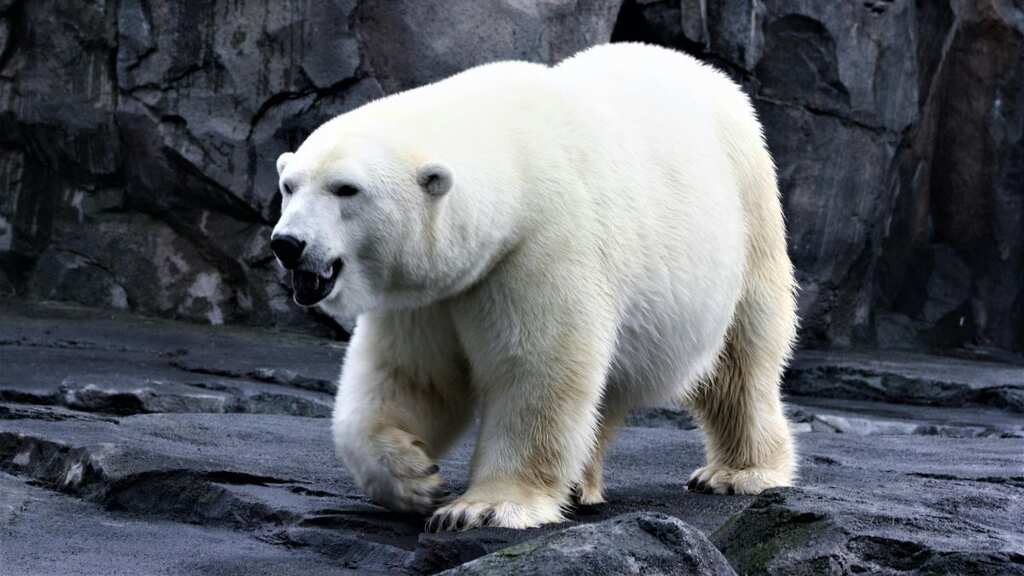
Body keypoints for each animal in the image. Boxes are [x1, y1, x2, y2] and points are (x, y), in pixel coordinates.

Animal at [270, 42, 798, 531]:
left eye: (346, 189)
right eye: (290, 185)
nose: (287, 243)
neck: (511, 163)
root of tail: (706, 72)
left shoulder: (539, 246)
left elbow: (535, 369)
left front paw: (481, 508)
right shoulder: (430, 293)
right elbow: (410, 375)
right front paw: (414, 477)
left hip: (748, 217)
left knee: (742, 359)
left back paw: (738, 472)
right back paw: (582, 483)